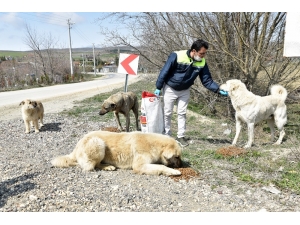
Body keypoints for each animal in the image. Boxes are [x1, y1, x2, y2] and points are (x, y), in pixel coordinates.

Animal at [51, 131, 182, 177]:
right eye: (177, 156)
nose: (182, 164)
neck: (153, 145)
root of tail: (77, 144)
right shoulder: (139, 165)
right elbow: (161, 166)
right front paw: (173, 171)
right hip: (98, 143)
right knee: (89, 166)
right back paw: (107, 167)